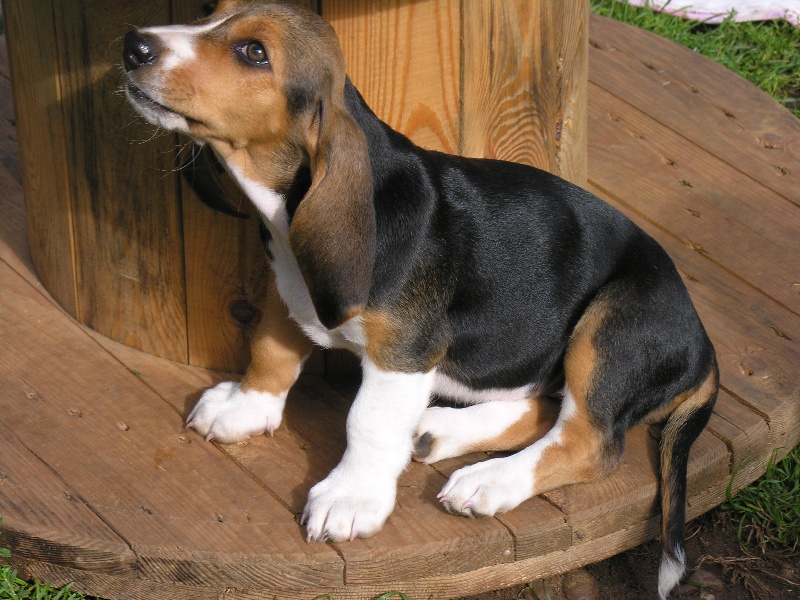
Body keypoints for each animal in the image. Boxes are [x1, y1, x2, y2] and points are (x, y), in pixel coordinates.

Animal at [122, 2, 718, 597]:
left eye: (254, 52)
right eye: (209, 13)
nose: (134, 45)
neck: (286, 212)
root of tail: (704, 347)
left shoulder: (404, 353)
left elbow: (366, 421)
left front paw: (350, 496)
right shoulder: (290, 288)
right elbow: (270, 348)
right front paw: (246, 406)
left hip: (610, 324)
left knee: (590, 442)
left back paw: (488, 480)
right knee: (545, 407)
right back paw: (439, 431)